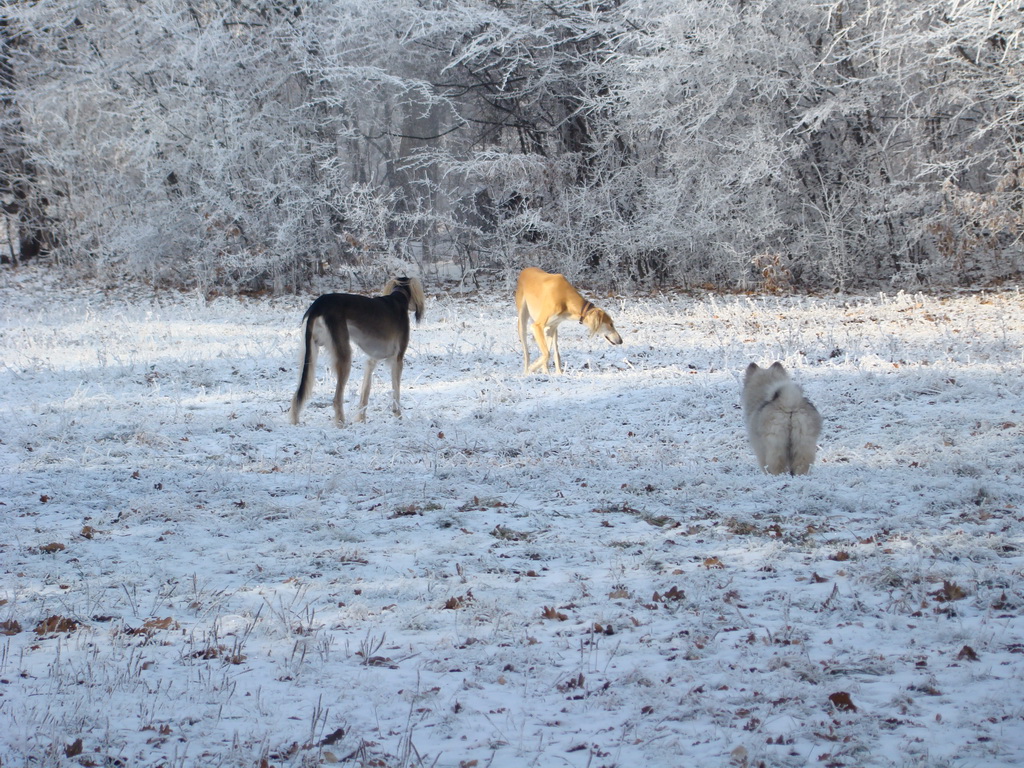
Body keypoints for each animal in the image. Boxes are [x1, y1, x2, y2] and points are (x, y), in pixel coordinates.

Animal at [290, 278, 425, 428]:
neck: (398, 297)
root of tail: (317, 305)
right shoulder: (398, 359)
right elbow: (396, 392)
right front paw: (398, 416)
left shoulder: (371, 360)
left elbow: (365, 392)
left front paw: (361, 419)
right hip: (344, 355)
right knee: (336, 398)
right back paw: (341, 423)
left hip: (309, 353)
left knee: (298, 393)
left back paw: (295, 422)